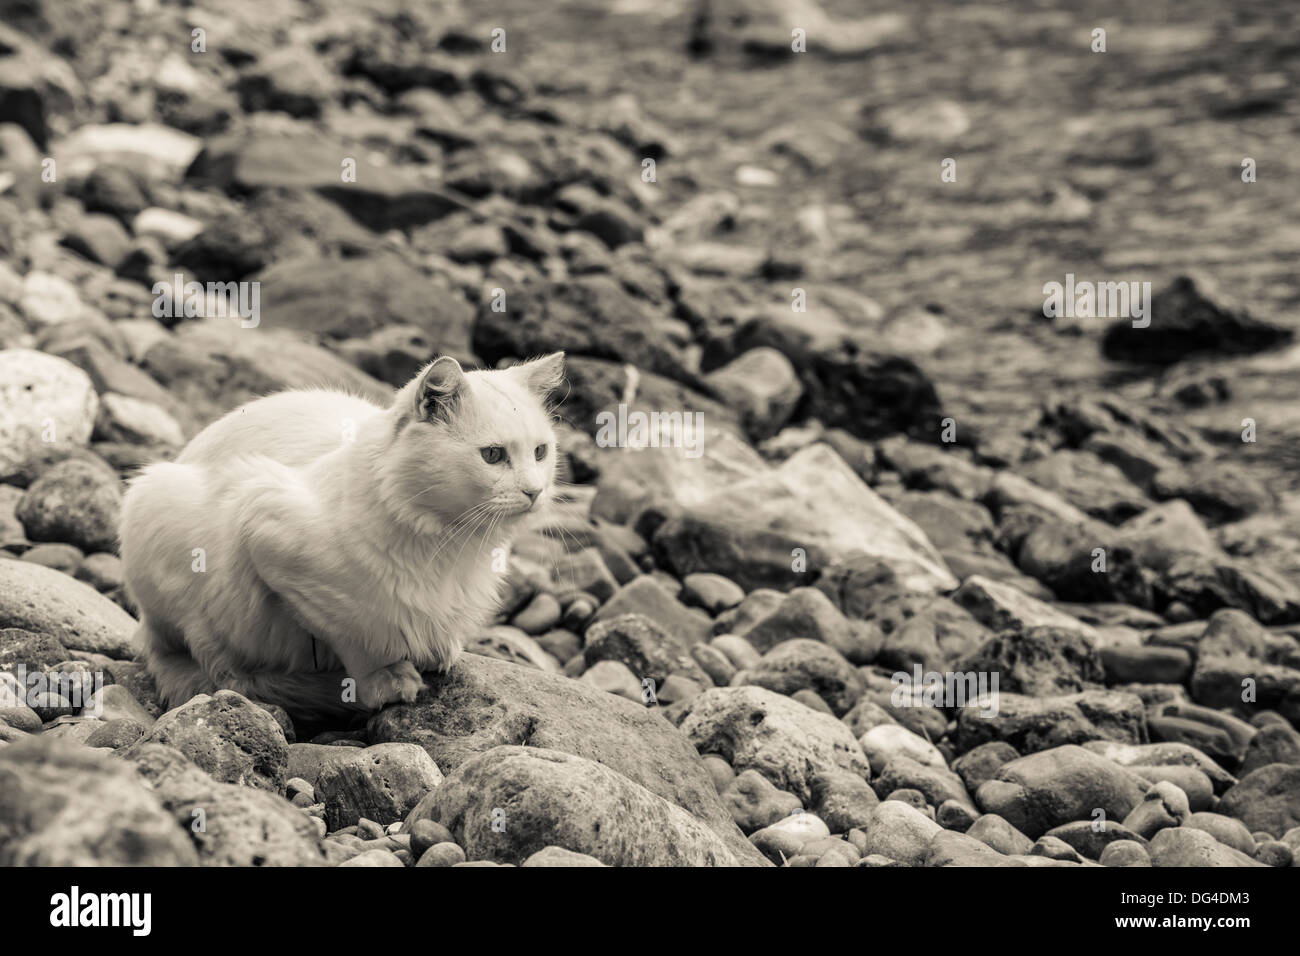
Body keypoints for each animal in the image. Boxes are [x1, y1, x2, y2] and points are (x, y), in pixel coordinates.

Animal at [120, 351, 564, 717]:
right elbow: (357, 637)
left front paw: (436, 650)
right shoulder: (266, 527)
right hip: (159, 507)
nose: (534, 491)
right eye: (493, 455)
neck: (449, 542)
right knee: (201, 661)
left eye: (541, 452)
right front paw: (386, 679)